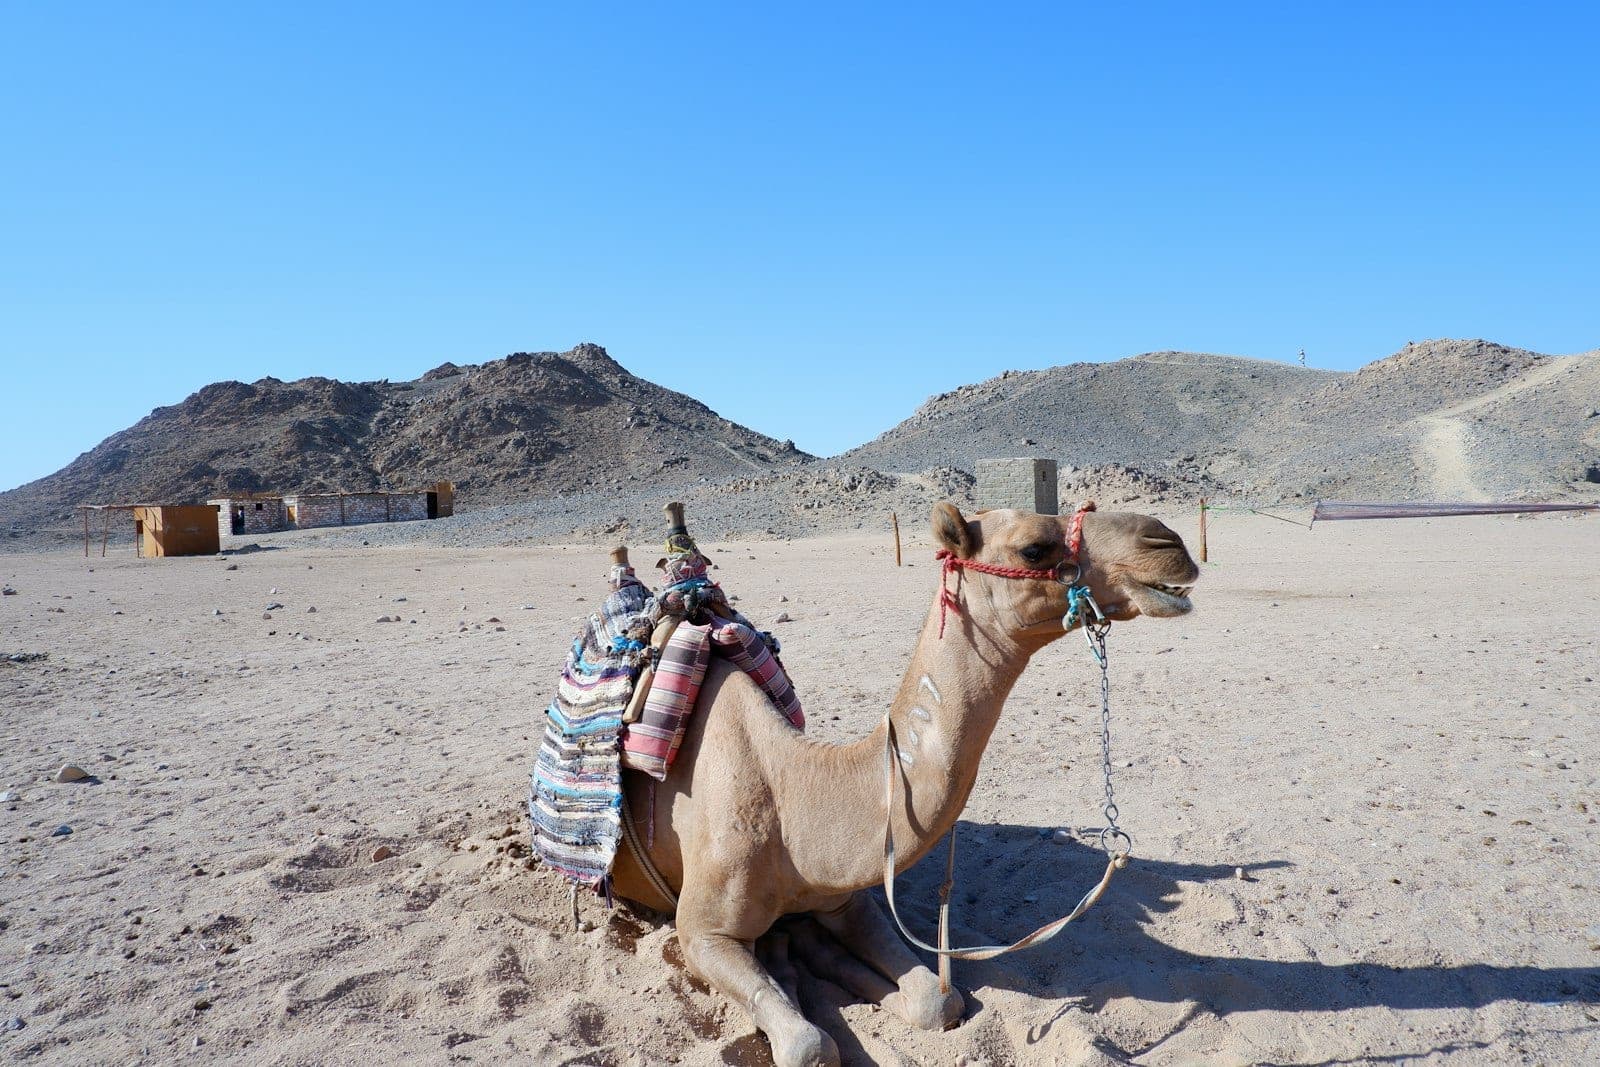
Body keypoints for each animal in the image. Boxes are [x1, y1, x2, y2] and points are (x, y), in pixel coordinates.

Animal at [607, 501, 1200, 1066]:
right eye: (1033, 547)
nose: (1168, 543)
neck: (794, 795)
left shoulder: (845, 899)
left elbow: (938, 1000)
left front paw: (823, 960)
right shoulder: (701, 933)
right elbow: (808, 1047)